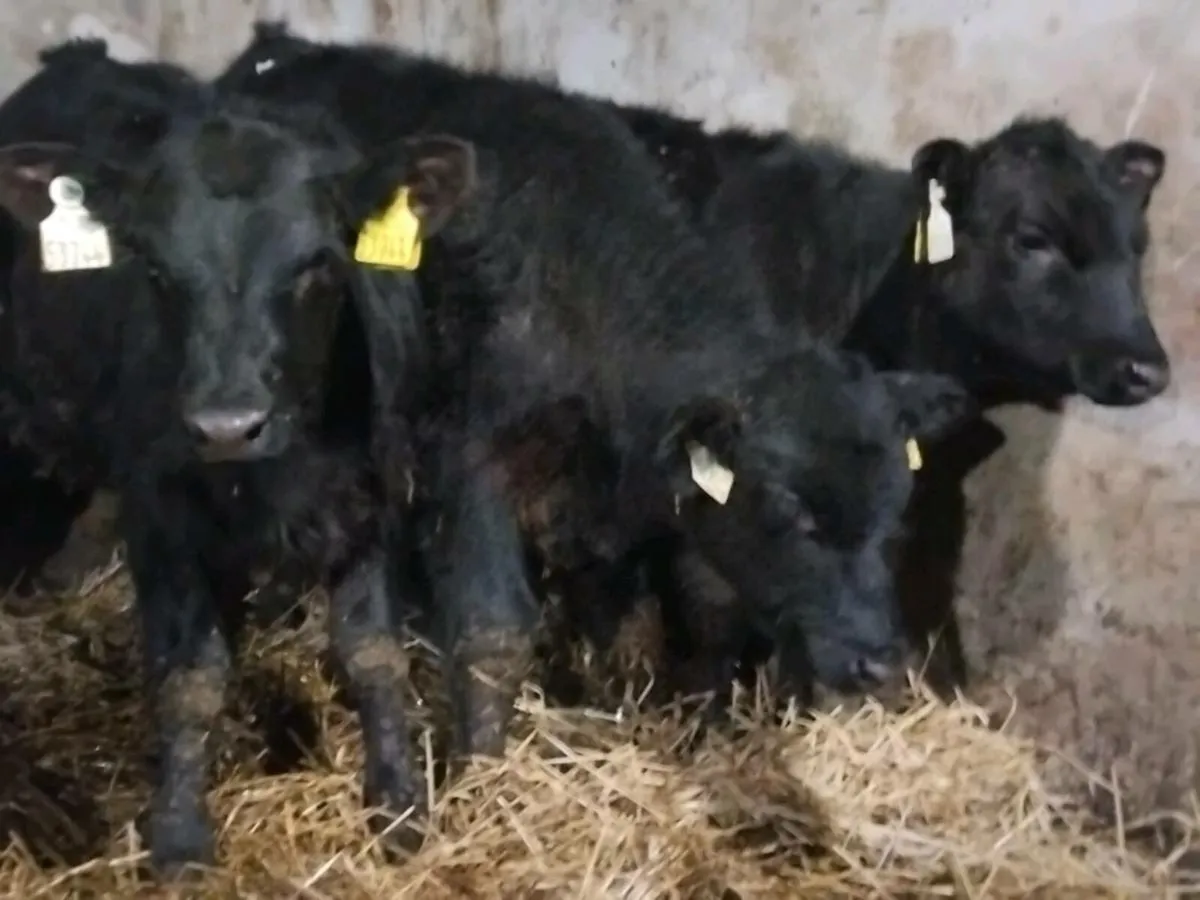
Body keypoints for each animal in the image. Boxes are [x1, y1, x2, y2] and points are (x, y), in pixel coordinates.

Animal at [0, 84, 481, 876]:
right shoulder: (158, 519)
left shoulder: (376, 497)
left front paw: (399, 804)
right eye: (155, 270)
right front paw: (180, 839)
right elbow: (190, 679)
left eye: (317, 264)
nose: (226, 425)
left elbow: (373, 655)